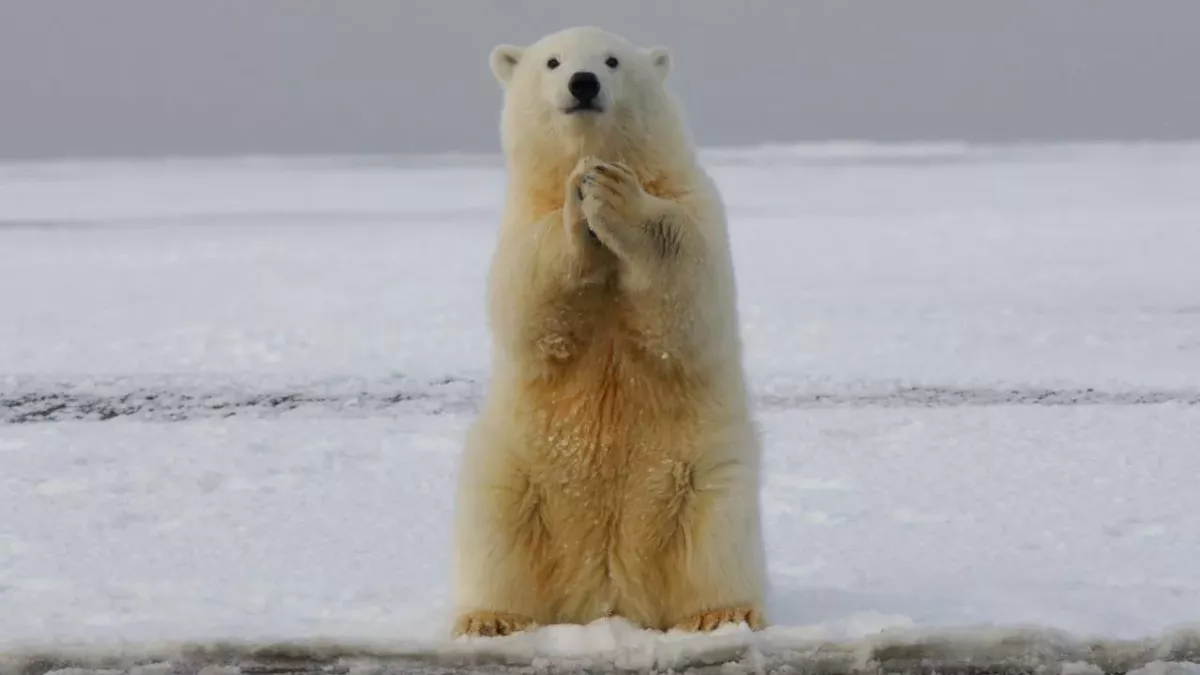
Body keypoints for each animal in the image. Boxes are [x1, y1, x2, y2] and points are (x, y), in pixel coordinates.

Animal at [450, 26, 768, 638]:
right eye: (552, 61)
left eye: (613, 60)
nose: (583, 82)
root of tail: (608, 594)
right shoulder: (520, 220)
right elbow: (527, 301)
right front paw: (580, 202)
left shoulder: (694, 200)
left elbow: (692, 291)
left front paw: (615, 196)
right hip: (514, 472)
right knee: (497, 533)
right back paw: (491, 618)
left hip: (704, 475)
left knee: (716, 539)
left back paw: (720, 613)